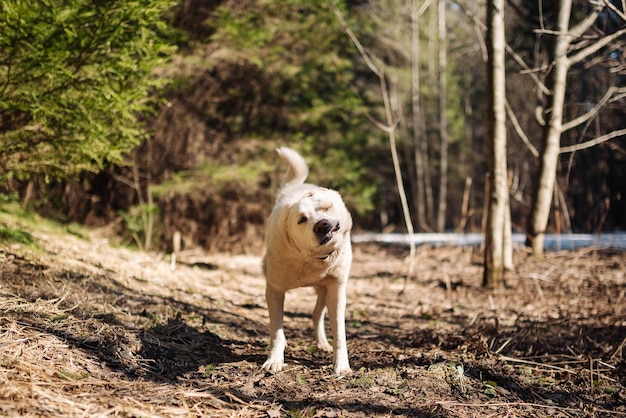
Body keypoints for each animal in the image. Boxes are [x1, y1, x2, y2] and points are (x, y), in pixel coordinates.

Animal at [258, 147, 352, 376]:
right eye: (302, 219)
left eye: (326, 207)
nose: (322, 225)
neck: (311, 259)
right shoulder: (274, 290)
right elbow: (277, 331)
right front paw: (274, 360)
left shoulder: (336, 289)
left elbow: (339, 333)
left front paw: (341, 365)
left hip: (324, 290)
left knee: (316, 314)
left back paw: (323, 344)